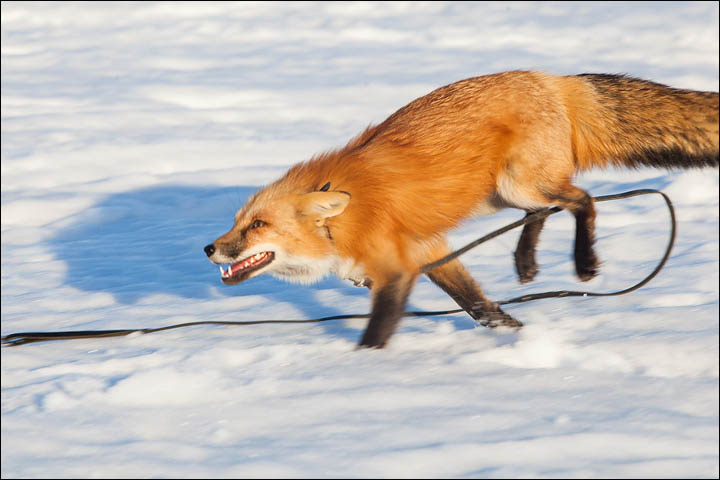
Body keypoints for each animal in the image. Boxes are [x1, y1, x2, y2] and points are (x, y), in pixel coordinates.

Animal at [204, 70, 720, 348]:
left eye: (258, 225)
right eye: (236, 223)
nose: (209, 249)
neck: (344, 222)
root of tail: (551, 79)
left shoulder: (397, 270)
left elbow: (379, 330)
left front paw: (364, 368)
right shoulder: (429, 251)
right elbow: (478, 305)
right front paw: (516, 335)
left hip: (520, 184)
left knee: (583, 201)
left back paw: (583, 262)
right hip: (504, 194)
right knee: (544, 212)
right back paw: (525, 263)